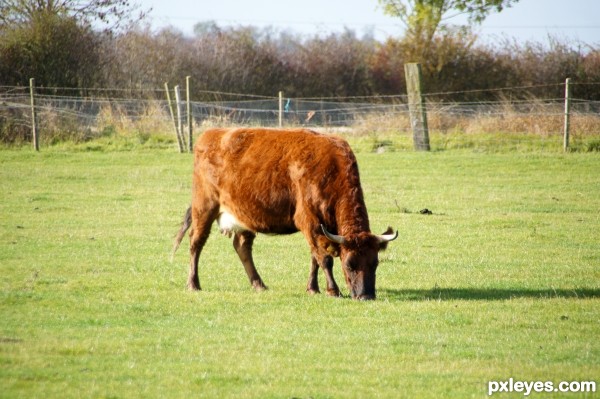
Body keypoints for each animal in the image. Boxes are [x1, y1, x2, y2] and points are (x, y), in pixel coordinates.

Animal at [173, 128, 396, 300]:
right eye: (350, 264)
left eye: (375, 262)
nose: (366, 295)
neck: (331, 170)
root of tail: (212, 134)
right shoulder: (310, 222)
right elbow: (324, 259)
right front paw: (333, 290)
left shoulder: (318, 229)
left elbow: (315, 258)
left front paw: (313, 288)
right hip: (204, 207)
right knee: (196, 242)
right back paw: (193, 284)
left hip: (245, 216)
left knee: (242, 247)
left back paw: (258, 284)